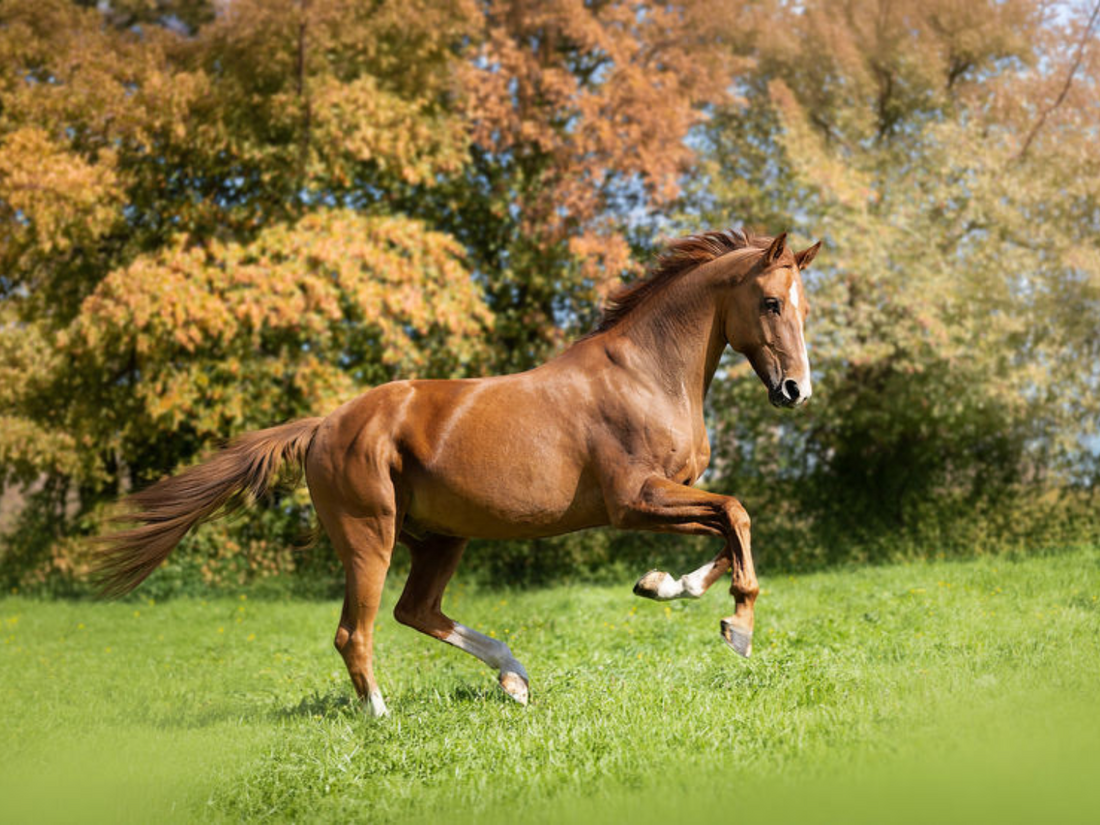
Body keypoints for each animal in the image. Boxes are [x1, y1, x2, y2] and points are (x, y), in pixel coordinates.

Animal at [94, 228, 820, 716]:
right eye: (771, 303)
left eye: (803, 307)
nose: (795, 391)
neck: (646, 374)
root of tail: (324, 425)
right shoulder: (633, 501)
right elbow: (736, 515)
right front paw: (738, 630)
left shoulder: (673, 494)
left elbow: (728, 530)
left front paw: (664, 585)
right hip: (370, 537)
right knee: (356, 631)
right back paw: (383, 717)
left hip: (440, 539)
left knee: (416, 611)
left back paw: (513, 677)